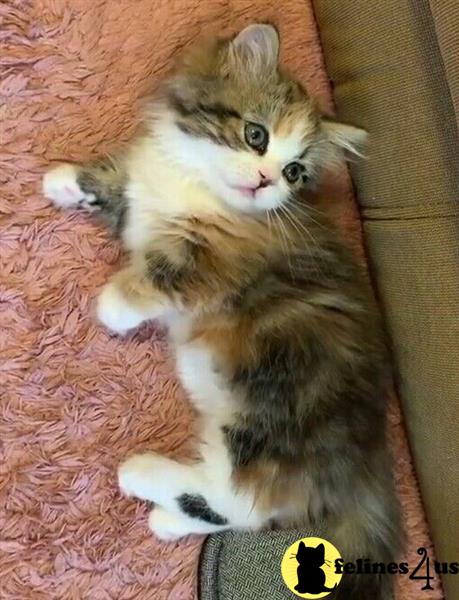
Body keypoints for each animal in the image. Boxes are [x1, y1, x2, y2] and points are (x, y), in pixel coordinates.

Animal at [45, 24, 400, 600]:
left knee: (243, 498)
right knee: (242, 508)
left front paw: (113, 306)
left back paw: (140, 474)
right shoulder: (141, 199)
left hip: (272, 406)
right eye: (257, 136)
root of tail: (369, 459)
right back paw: (166, 519)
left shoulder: (213, 260)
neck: (197, 183)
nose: (265, 181)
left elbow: (160, 279)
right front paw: (63, 181)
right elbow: (117, 186)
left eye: (295, 172)